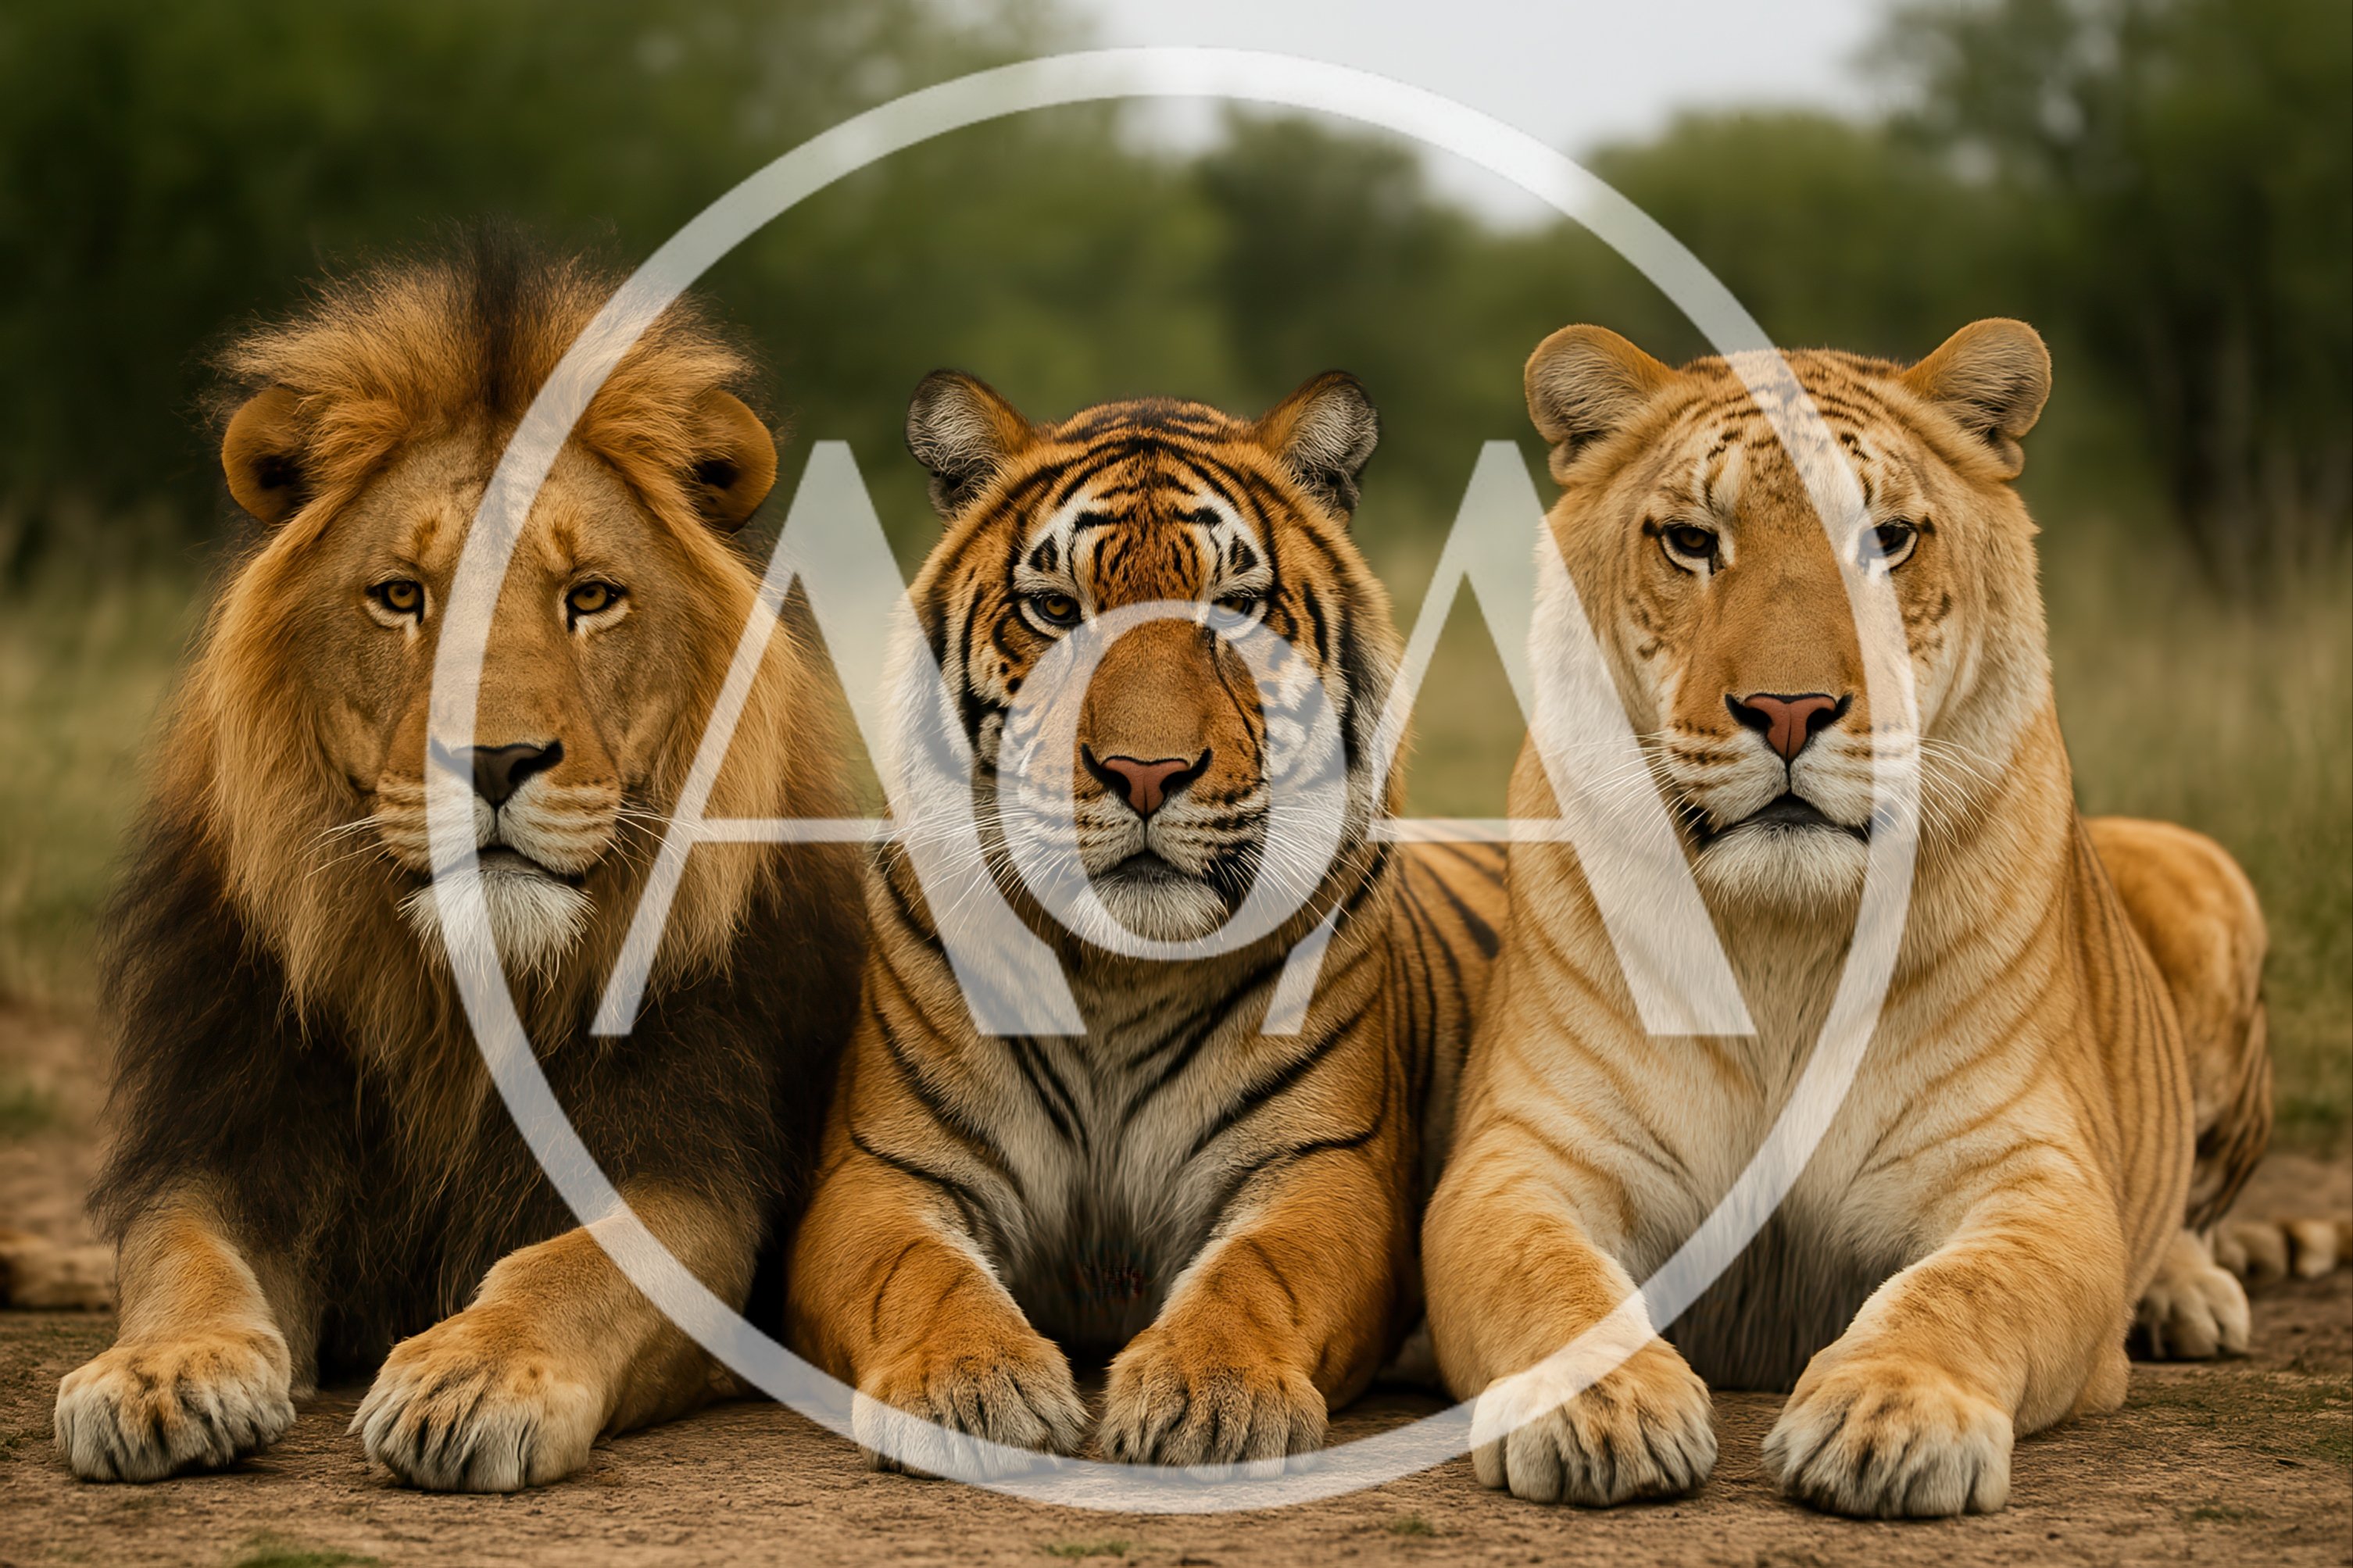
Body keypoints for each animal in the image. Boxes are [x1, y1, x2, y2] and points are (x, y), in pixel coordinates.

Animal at [51, 233, 865, 1491]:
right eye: (401, 595)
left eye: (591, 597)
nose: (492, 760)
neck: (462, 1003)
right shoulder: (230, 1134)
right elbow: (180, 1251)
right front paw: (161, 1372)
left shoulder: (699, 1166)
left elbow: (579, 1264)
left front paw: (476, 1376)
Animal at [783, 370, 1506, 1472]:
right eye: (1054, 610)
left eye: (1235, 610)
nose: (1145, 773)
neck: (1116, 974)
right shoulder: (877, 1171)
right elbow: (915, 1272)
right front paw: (969, 1386)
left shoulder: (1322, 1171)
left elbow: (1258, 1272)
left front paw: (1213, 1394)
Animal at [1422, 319, 2311, 1518]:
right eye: (1691, 542)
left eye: (1884, 539)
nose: (1788, 710)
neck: (1781, 946)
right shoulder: (1521, 1158)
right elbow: (1545, 1275)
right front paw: (1599, 1408)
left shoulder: (2029, 1174)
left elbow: (1965, 1289)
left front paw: (1888, 1418)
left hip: (2201, 873)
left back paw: (2186, 1298)